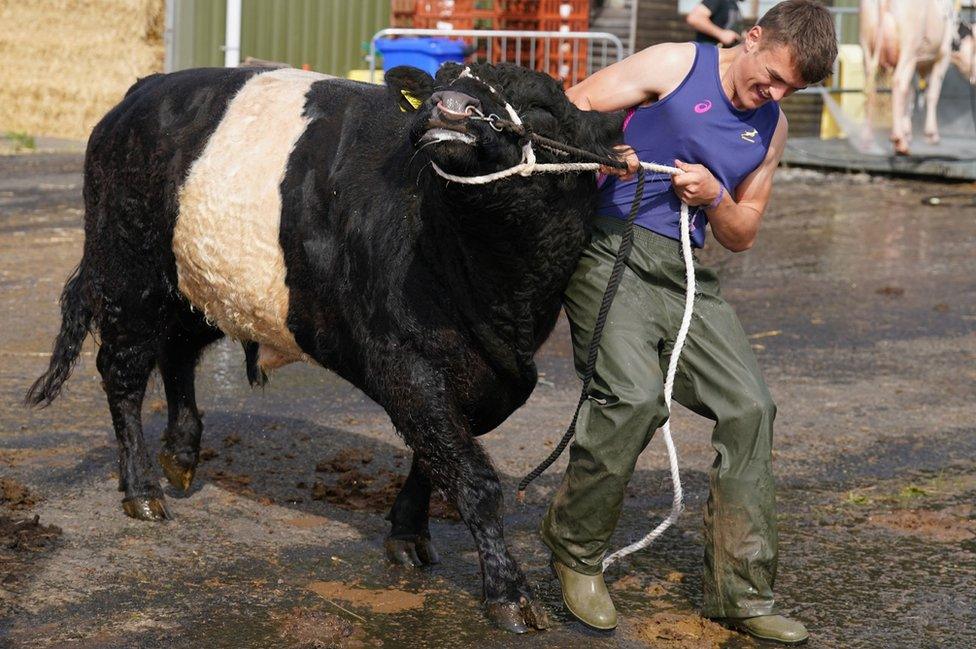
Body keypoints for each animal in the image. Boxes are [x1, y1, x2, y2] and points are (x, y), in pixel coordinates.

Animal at [26, 62, 624, 632]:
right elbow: (472, 477)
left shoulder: (478, 380)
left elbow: (435, 457)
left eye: (542, 109)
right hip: (129, 272)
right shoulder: (402, 362)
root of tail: (142, 91)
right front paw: (508, 594)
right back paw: (142, 489)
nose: (448, 106)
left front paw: (408, 535)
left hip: (198, 282)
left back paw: (181, 455)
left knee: (177, 353)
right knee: (122, 374)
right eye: (446, 78)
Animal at [860, 0, 952, 154]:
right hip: (909, 47)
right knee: (898, 83)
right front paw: (931, 134)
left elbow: (912, 93)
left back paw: (867, 138)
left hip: (866, 45)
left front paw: (908, 131)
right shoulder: (944, 53)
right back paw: (899, 142)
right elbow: (932, 94)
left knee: (871, 83)